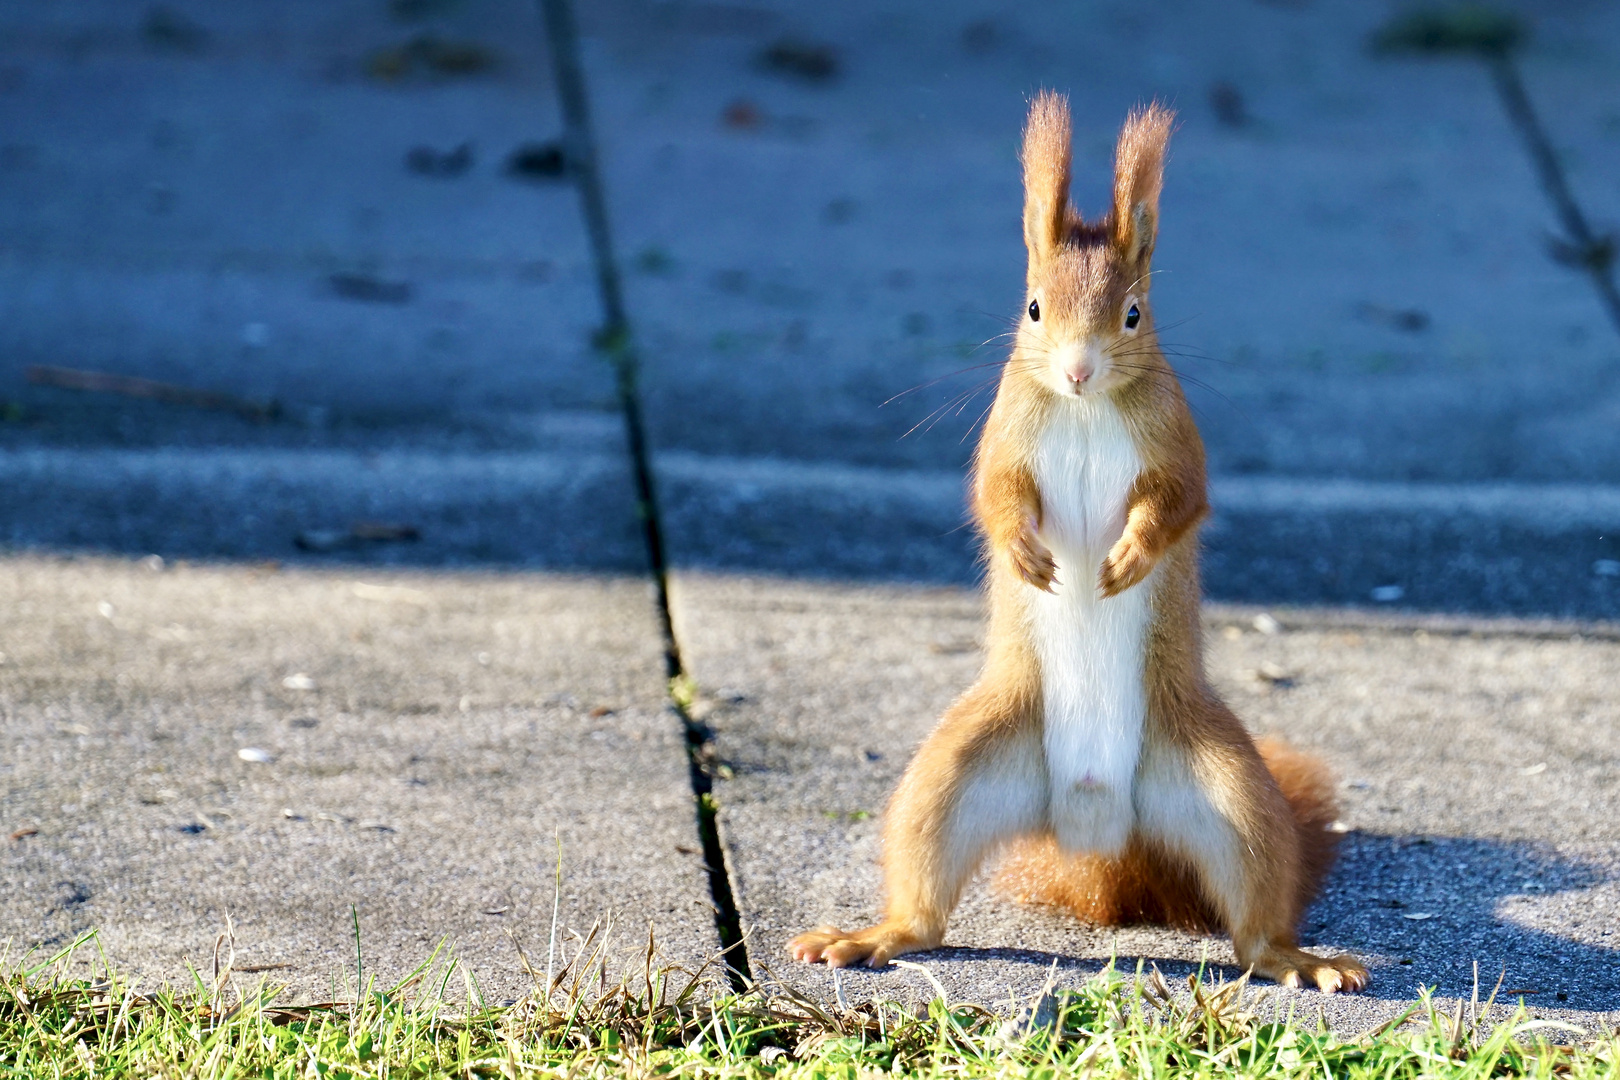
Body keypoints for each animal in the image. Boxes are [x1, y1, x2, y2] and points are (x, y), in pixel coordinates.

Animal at [793, 95, 1367, 997]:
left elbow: (1177, 503)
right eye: (1033, 308)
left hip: (1231, 792)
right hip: (954, 776)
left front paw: (1128, 558)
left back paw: (1298, 959)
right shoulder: (1002, 441)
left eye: (1133, 313)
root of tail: (1098, 828)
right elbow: (994, 500)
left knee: (1254, 921)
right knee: (924, 897)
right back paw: (871, 935)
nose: (1076, 369)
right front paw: (1030, 557)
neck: (1087, 409)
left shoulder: (1178, 447)